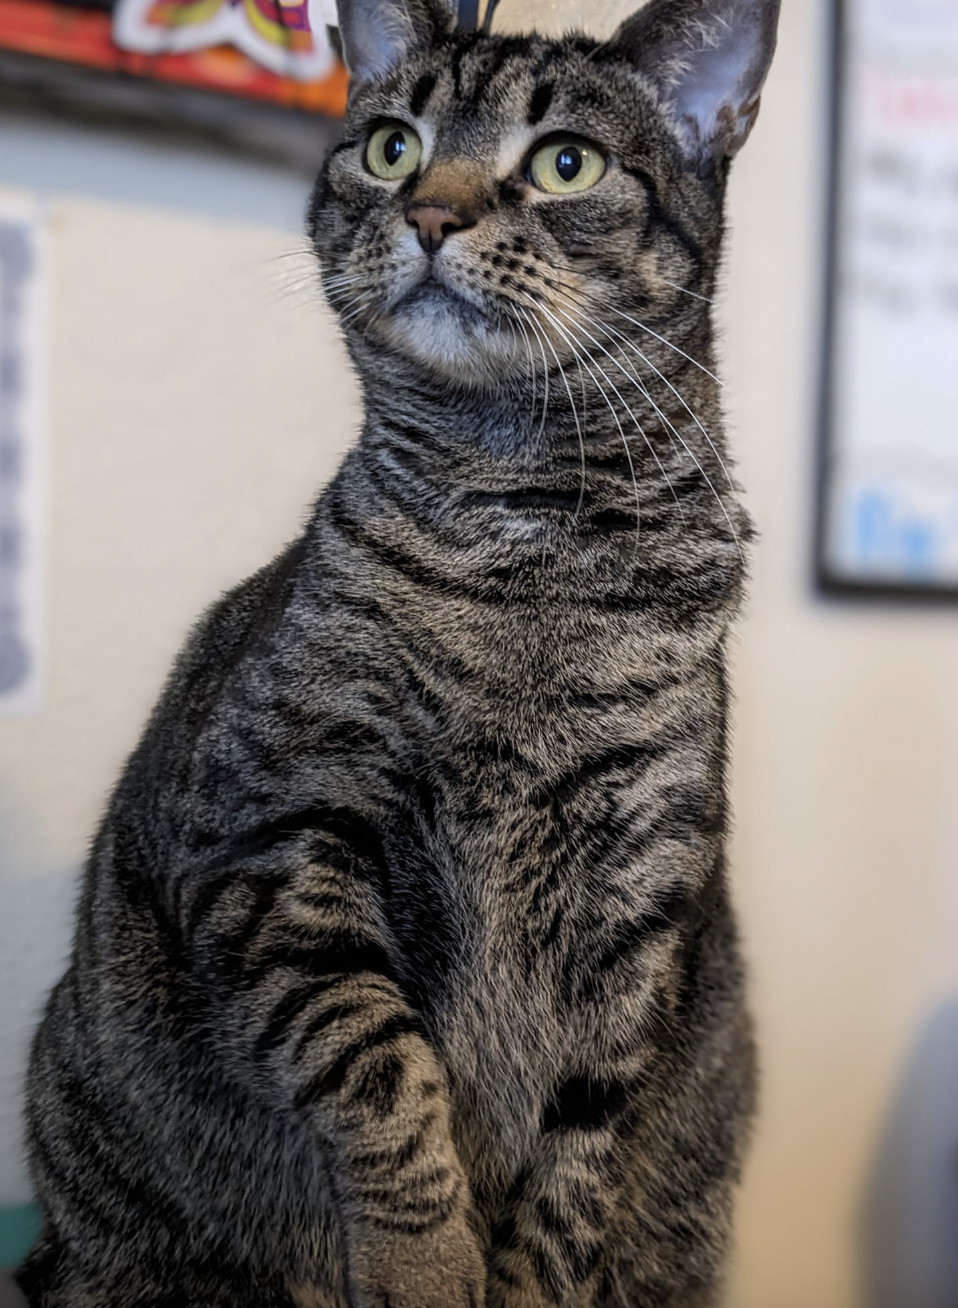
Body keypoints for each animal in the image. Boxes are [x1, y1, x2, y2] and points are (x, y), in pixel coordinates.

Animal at [18, 0, 780, 1302]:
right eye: (390, 146)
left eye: (564, 162)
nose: (430, 212)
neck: (530, 544)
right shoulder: (277, 831)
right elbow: (382, 1076)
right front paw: (427, 1265)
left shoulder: (641, 918)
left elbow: (572, 1179)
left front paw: (520, 1277)